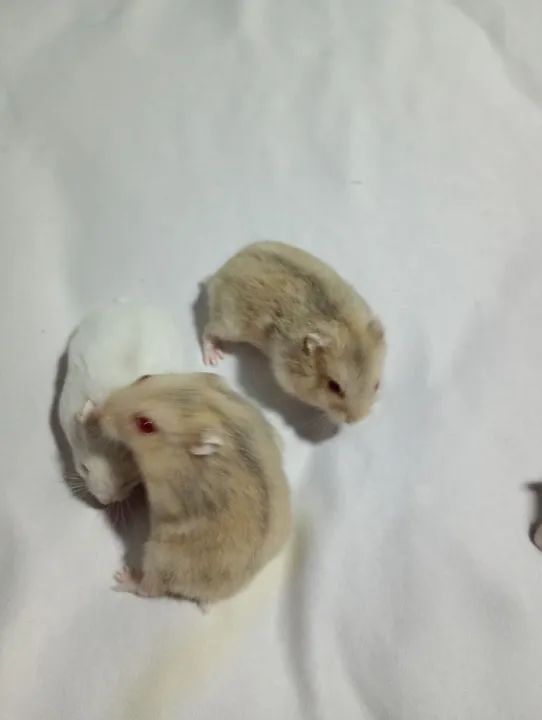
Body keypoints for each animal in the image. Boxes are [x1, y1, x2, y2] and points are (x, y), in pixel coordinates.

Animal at [86, 372, 291, 604]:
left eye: (146, 424)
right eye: (144, 376)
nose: (97, 415)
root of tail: (214, 596)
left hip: (159, 555)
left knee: (150, 589)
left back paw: (124, 578)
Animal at [202, 241, 386, 424]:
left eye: (377, 385)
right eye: (334, 386)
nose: (356, 420)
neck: (340, 322)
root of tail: (219, 273)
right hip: (227, 324)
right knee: (207, 331)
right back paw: (213, 358)